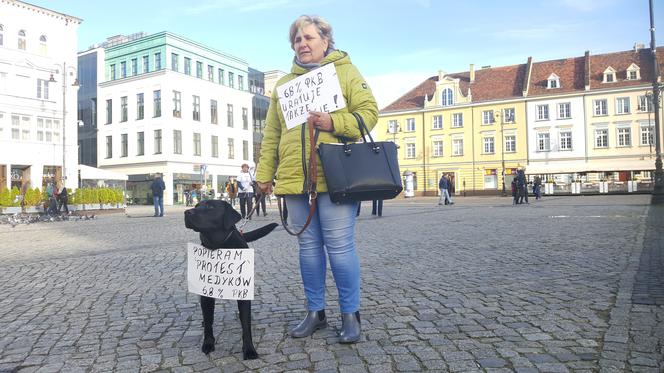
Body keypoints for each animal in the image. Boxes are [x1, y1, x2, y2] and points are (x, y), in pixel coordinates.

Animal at [183, 199, 276, 358]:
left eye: (210, 206)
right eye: (196, 206)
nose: (187, 212)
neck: (219, 246)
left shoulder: (243, 292)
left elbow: (246, 325)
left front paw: (249, 350)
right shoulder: (206, 294)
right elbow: (209, 322)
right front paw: (208, 344)